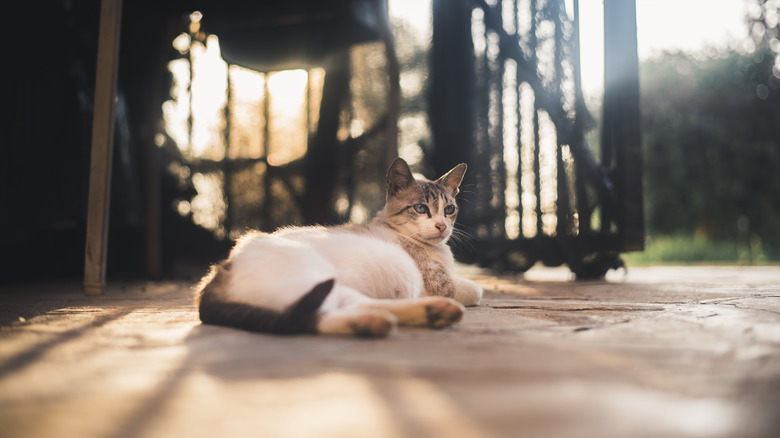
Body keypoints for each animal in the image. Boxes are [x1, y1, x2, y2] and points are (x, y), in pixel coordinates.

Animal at [197, 158, 482, 338]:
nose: (441, 226)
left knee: (337, 313)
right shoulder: (443, 285)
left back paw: (418, 314)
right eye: (421, 208)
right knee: (310, 318)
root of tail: (220, 269)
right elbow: (476, 290)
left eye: (449, 209)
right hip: (317, 281)